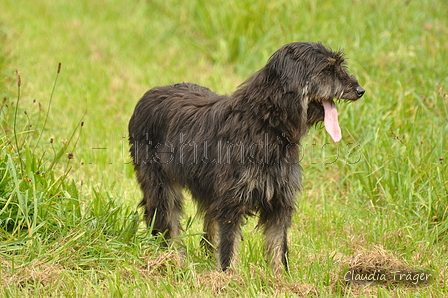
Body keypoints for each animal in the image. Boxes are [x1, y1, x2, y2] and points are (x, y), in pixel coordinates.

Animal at [129, 42, 364, 274]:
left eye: (339, 65)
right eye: (327, 69)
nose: (360, 90)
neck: (265, 123)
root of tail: (147, 96)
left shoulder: (279, 199)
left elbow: (278, 246)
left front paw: (280, 278)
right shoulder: (231, 201)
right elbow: (229, 245)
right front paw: (229, 277)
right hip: (160, 186)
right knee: (167, 222)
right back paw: (174, 260)